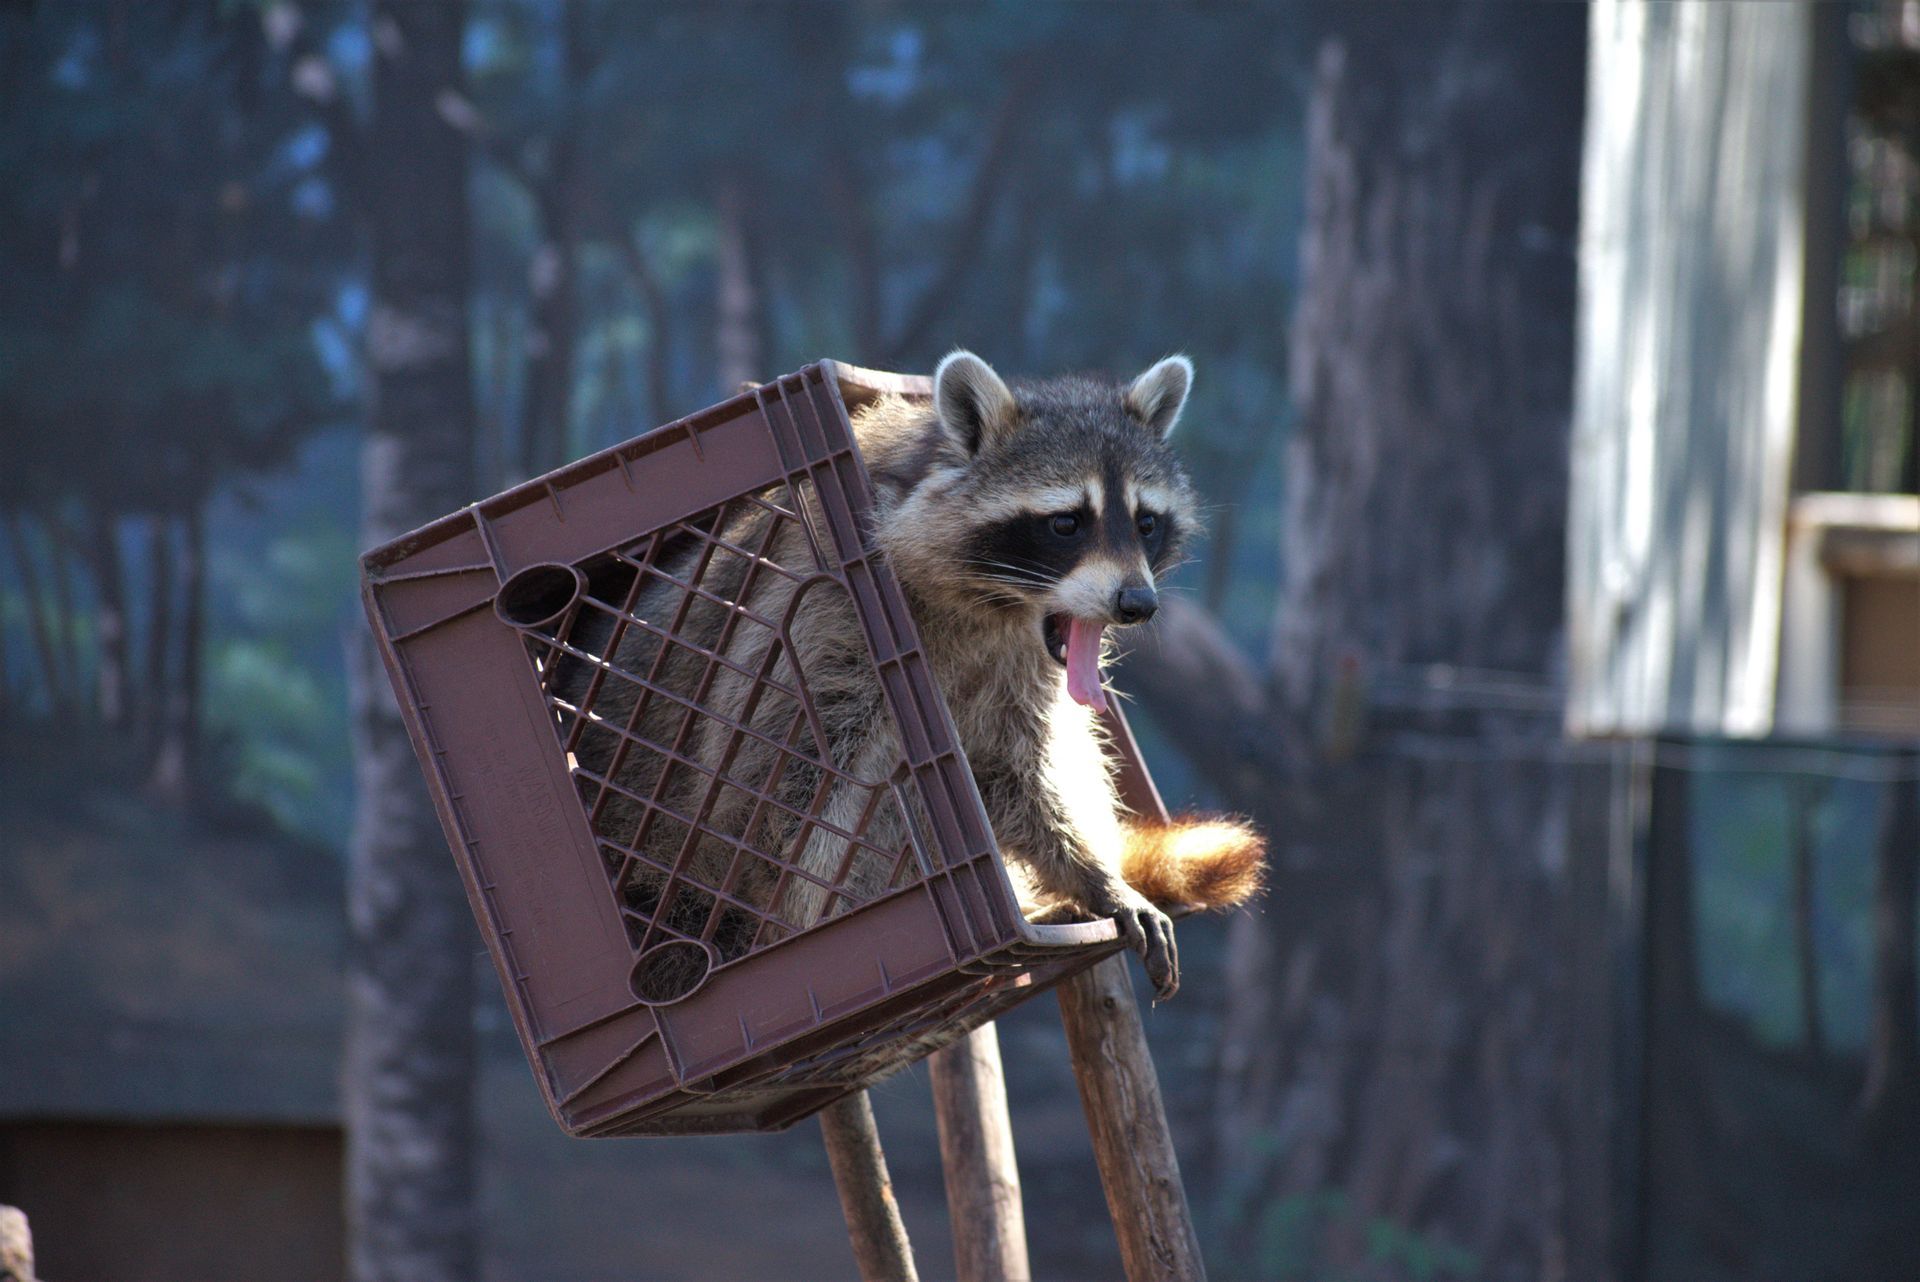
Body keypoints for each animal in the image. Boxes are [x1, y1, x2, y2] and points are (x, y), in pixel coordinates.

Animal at [549, 353, 1267, 997]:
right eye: (1066, 523)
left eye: (1146, 522)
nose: (1137, 604)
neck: (998, 609)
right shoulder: (816, 614)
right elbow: (772, 784)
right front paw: (1083, 876)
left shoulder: (1021, 669)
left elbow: (1023, 770)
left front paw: (1092, 872)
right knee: (870, 788)